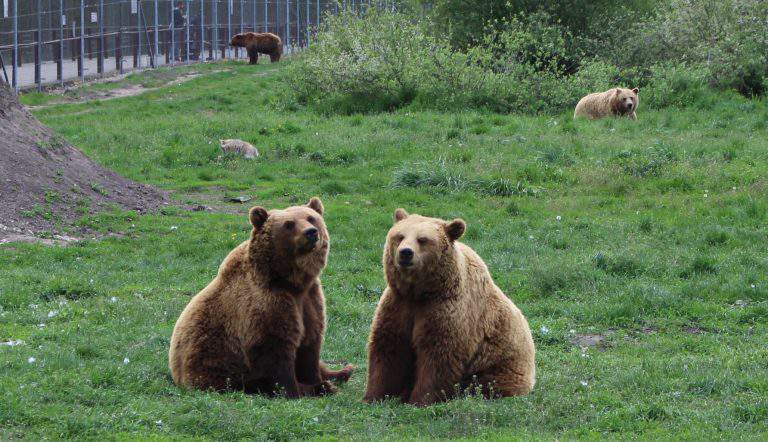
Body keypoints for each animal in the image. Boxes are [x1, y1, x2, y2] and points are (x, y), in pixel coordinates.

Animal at [168, 198, 354, 398]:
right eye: (289, 224)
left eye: (311, 218)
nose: (311, 232)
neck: (289, 281)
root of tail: (178, 376)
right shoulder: (267, 304)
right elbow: (276, 352)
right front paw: (306, 388)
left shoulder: (310, 298)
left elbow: (310, 344)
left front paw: (319, 380)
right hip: (220, 372)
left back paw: (343, 371)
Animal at [364, 209, 536, 406]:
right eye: (399, 236)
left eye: (422, 239)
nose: (405, 253)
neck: (420, 293)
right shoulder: (399, 305)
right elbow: (389, 348)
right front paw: (375, 396)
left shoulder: (446, 309)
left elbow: (438, 354)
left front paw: (421, 399)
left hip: (500, 364)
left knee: (489, 383)